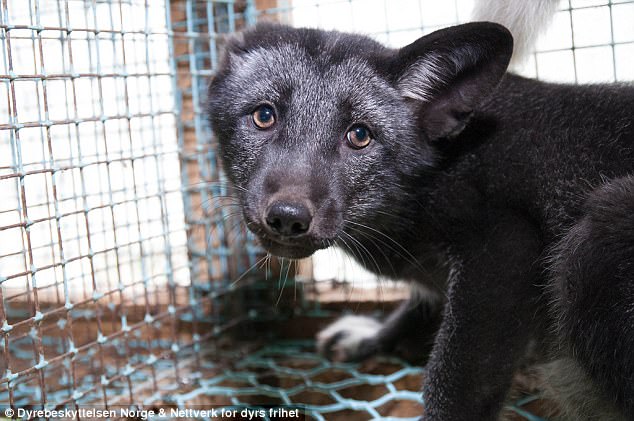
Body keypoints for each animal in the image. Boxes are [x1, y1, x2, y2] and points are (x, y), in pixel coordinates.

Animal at [207, 1, 632, 418]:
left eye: (359, 136)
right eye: (264, 116)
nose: (287, 217)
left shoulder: (503, 248)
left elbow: (452, 382)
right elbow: (416, 307)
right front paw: (374, 336)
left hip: (599, 232)